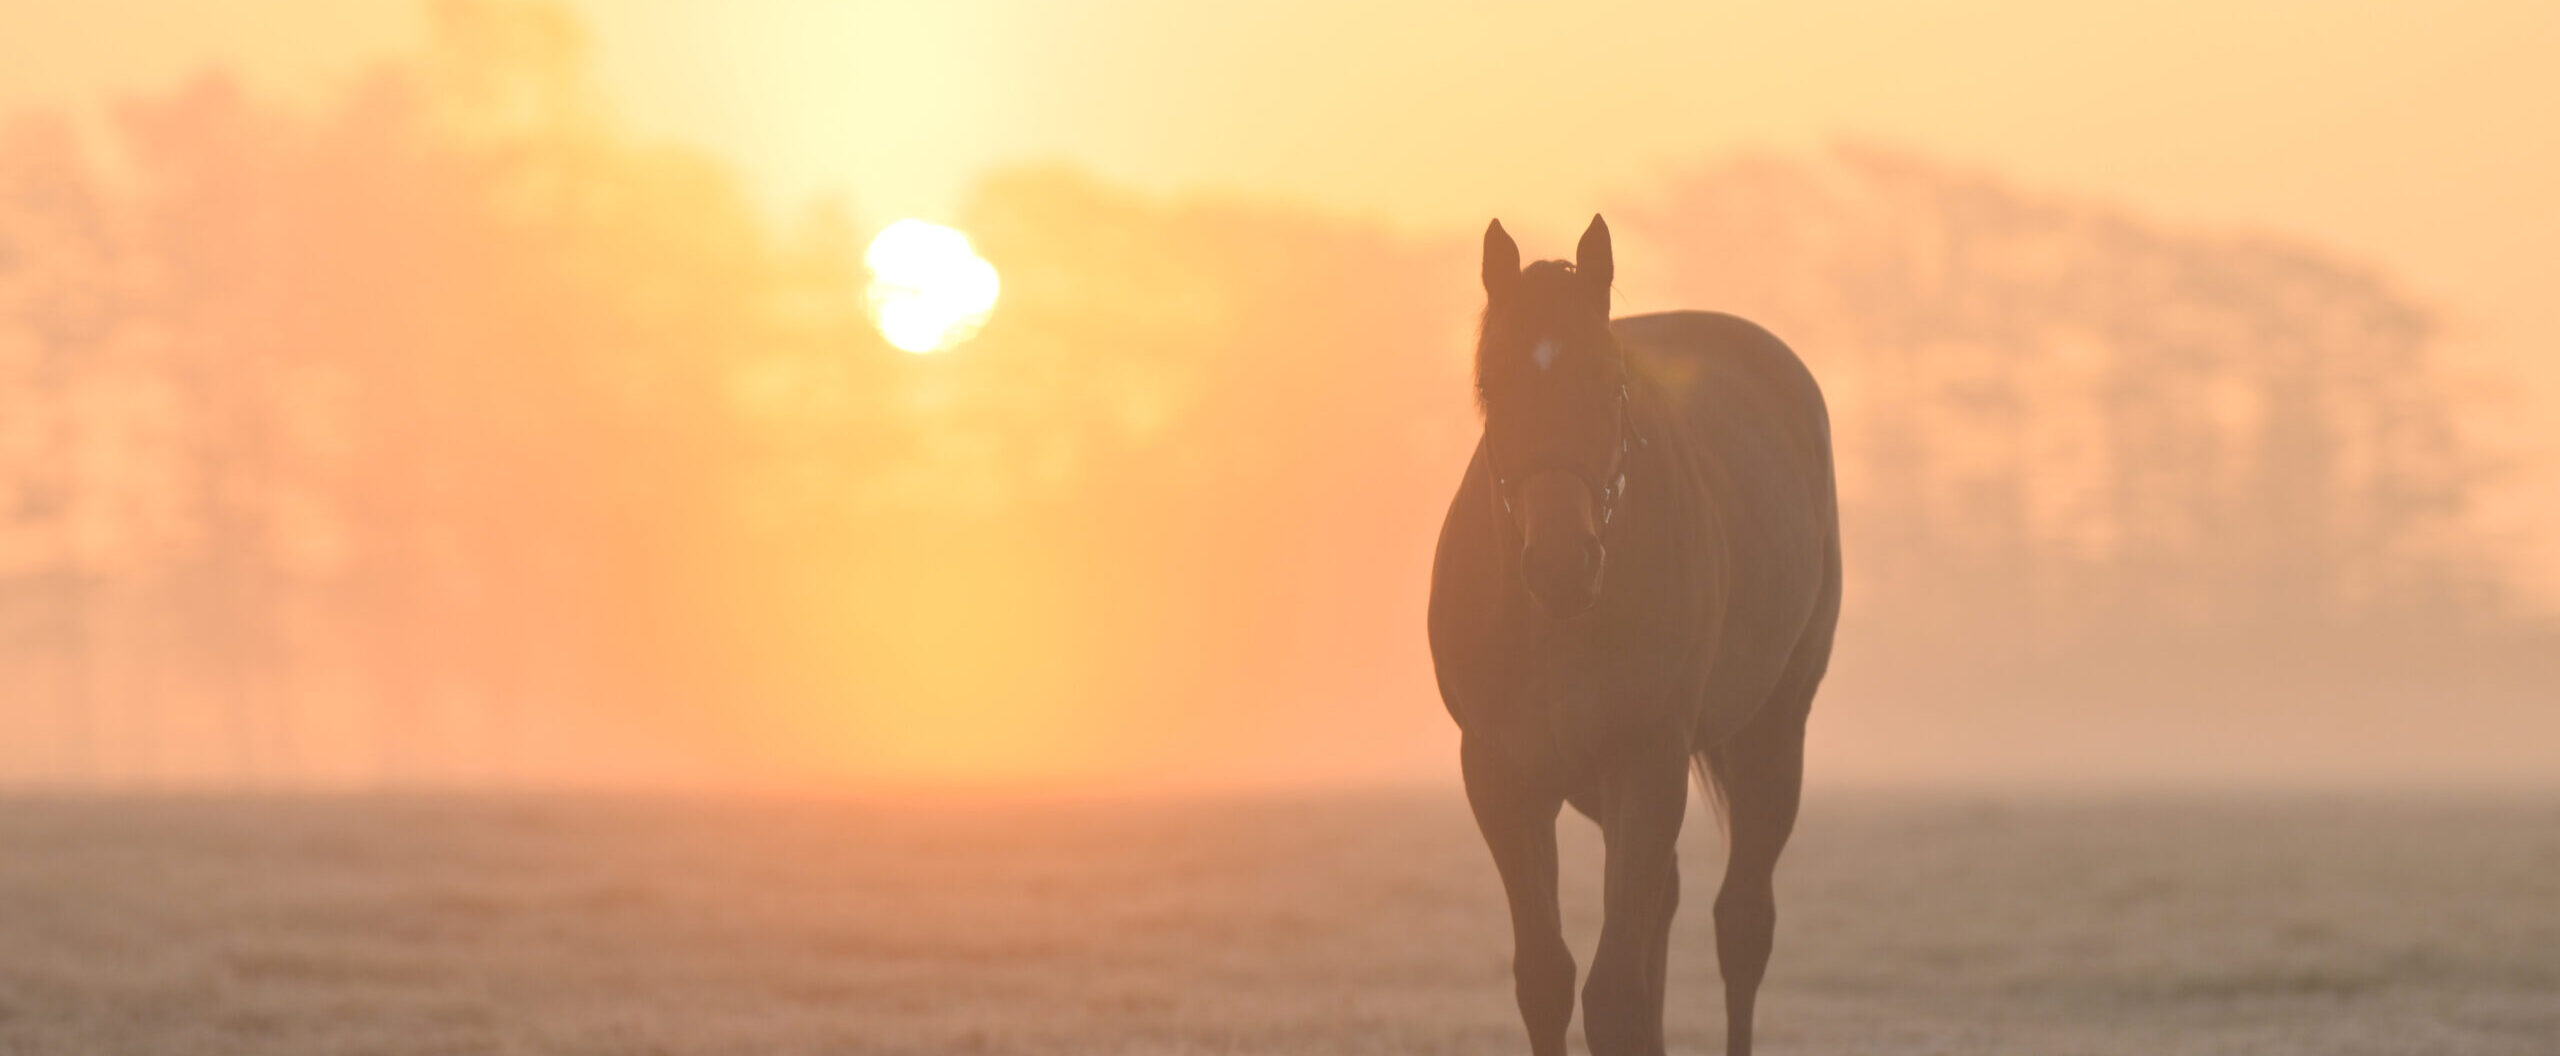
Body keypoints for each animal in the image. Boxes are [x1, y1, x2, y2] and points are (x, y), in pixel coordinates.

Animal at [1423, 214, 1843, 1056]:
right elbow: (1546, 979)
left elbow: (1613, 991)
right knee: (1666, 906)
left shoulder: (1645, 760)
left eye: (1608, 383)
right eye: (1494, 386)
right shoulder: (1501, 778)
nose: (1561, 563)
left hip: (1771, 735)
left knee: (1741, 925)